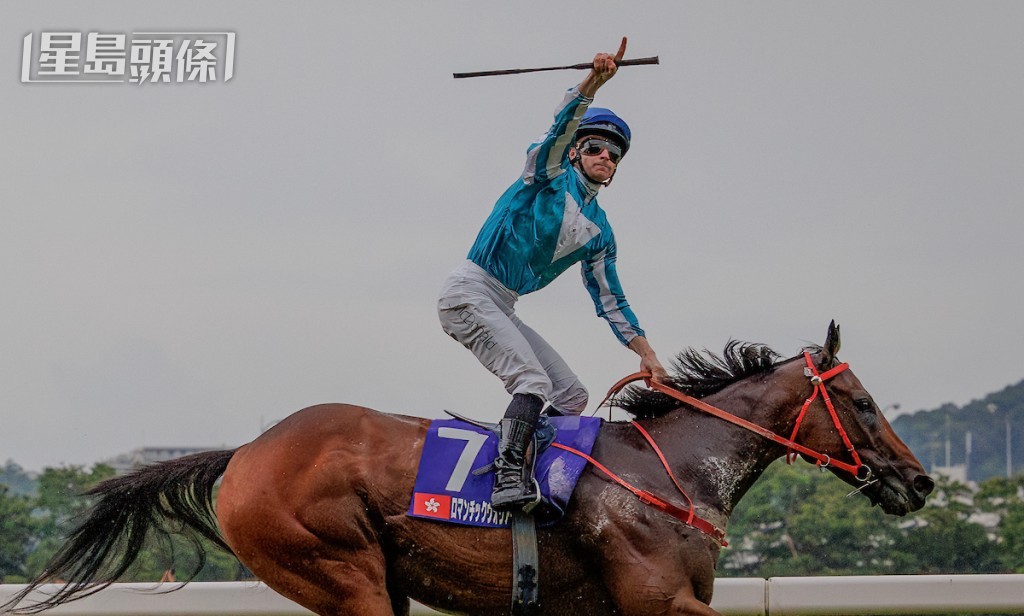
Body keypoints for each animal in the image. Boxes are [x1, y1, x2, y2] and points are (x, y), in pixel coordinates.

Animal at [4, 321, 937, 613]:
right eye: (860, 402)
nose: (921, 480)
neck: (671, 470)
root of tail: (245, 453)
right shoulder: (656, 599)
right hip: (337, 567)